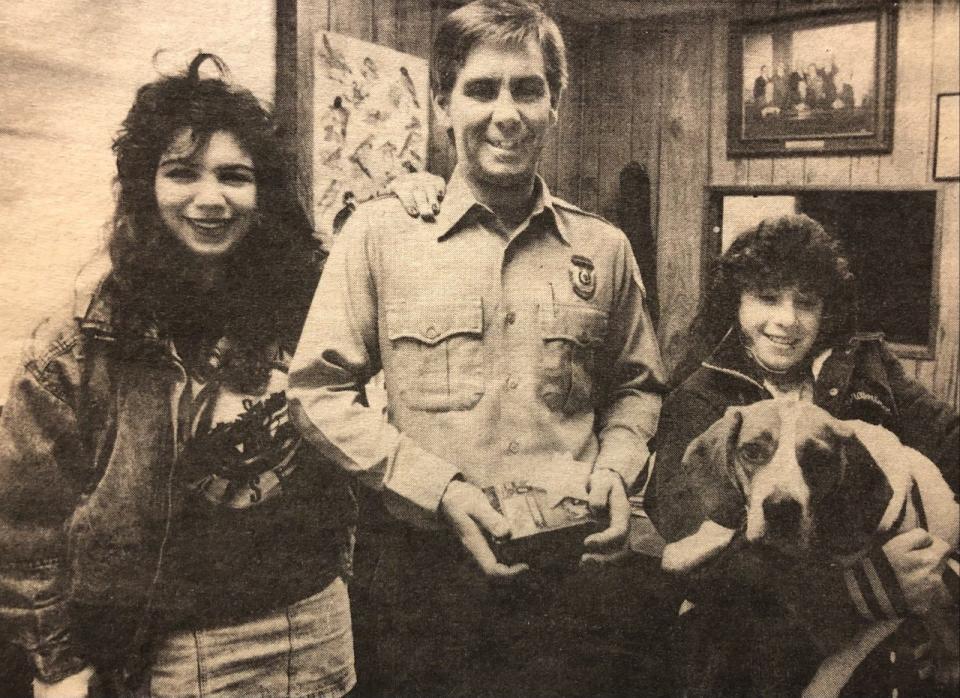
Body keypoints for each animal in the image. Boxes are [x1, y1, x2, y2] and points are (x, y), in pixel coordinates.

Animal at [664, 400, 956, 692]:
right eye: (752, 450)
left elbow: (836, 664)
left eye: (818, 457)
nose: (780, 508)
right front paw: (687, 549)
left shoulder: (892, 606)